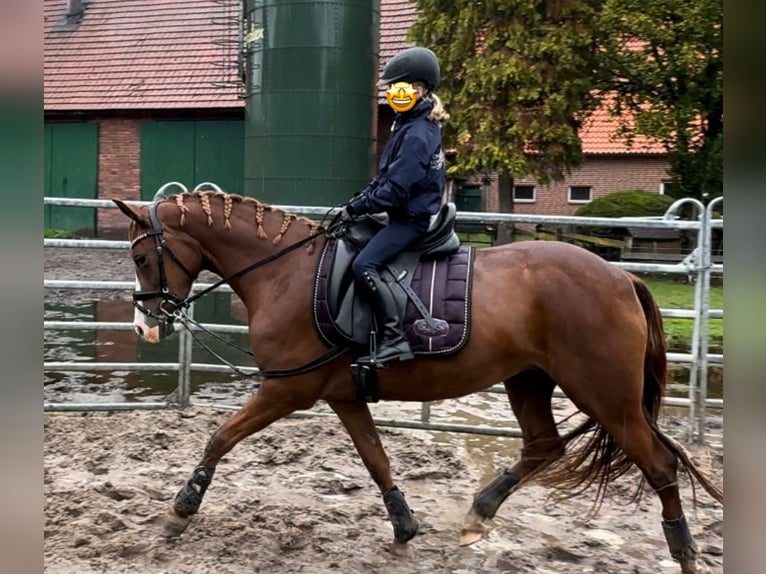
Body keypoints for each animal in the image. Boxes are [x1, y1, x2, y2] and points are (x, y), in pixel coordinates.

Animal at [111, 191, 724, 572]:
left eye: (141, 256)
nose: (146, 326)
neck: (284, 273)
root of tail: (621, 275)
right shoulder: (342, 396)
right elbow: (376, 458)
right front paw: (404, 526)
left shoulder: (287, 390)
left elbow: (221, 436)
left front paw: (180, 510)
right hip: (529, 380)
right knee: (544, 446)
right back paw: (478, 514)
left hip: (606, 396)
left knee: (658, 465)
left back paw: (685, 552)